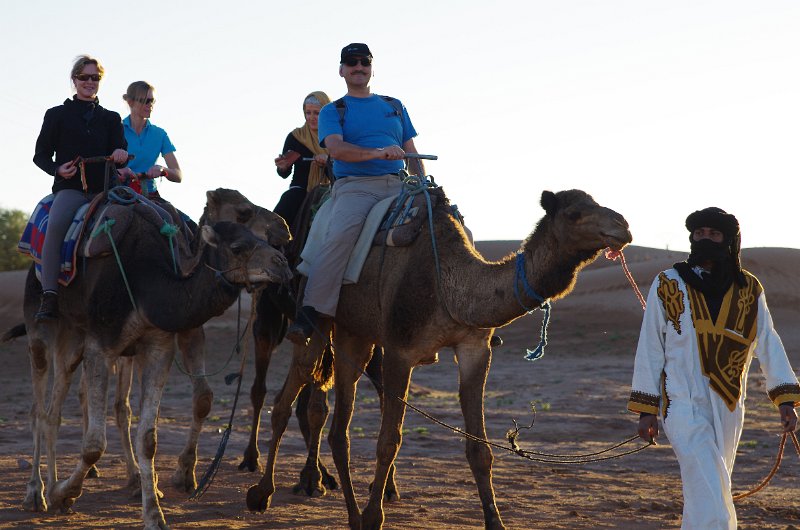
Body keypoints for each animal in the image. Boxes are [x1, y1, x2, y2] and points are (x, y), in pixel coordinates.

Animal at [20, 200, 292, 524]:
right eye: (238, 246)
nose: (283, 263)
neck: (146, 282)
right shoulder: (101, 346)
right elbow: (94, 444)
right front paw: (64, 493)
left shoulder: (159, 346)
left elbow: (148, 440)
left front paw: (153, 514)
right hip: (41, 325)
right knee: (40, 408)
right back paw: (37, 493)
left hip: (73, 340)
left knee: (55, 410)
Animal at [245, 188, 632, 524]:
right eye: (574, 213)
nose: (623, 226)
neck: (452, 286)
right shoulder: (399, 352)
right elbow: (389, 441)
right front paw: (374, 517)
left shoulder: (475, 349)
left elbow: (480, 449)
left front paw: (495, 521)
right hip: (320, 315)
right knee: (298, 396)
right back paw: (267, 492)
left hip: (357, 335)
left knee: (334, 423)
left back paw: (339, 506)